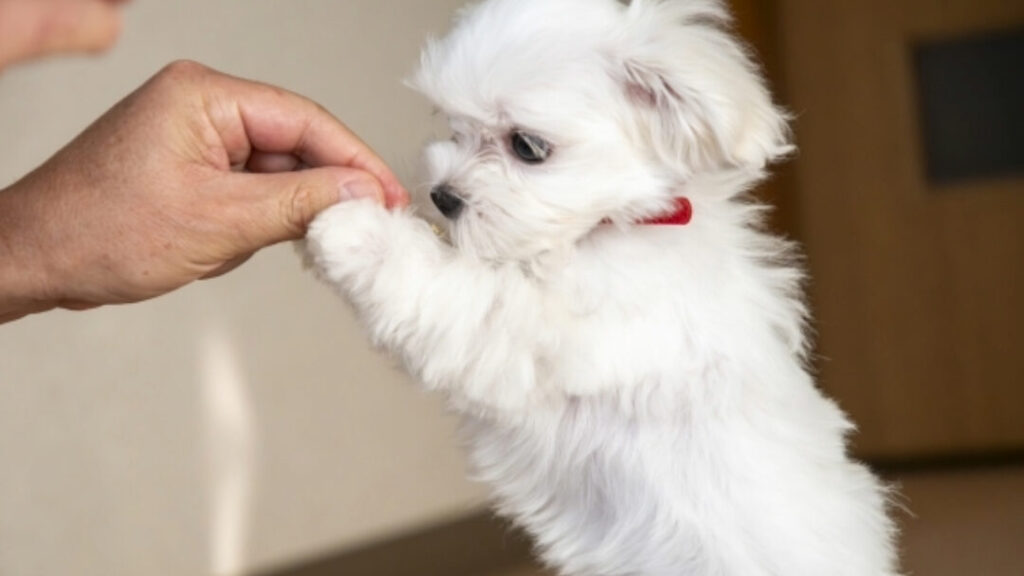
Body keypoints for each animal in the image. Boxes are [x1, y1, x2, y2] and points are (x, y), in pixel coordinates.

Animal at [306, 0, 899, 574]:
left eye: (527, 146)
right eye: (453, 128)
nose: (443, 197)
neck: (615, 225)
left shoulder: (531, 333)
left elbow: (446, 289)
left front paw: (354, 231)